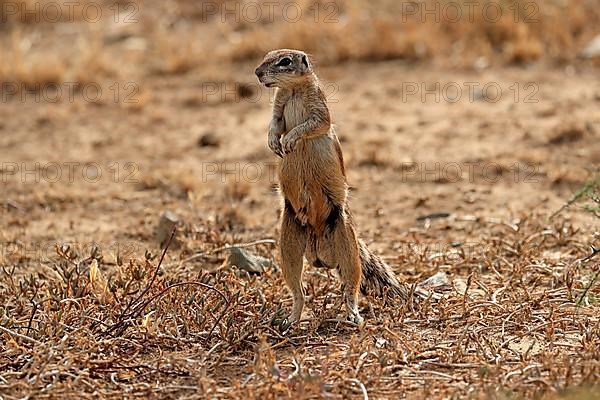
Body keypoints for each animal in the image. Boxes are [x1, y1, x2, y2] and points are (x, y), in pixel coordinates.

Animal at [255, 47, 410, 328]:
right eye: (266, 56)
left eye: (285, 61)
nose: (257, 73)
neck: (293, 89)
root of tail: (320, 255)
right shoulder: (278, 106)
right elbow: (275, 123)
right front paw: (274, 142)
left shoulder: (320, 109)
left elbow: (312, 124)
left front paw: (291, 139)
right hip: (288, 245)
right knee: (298, 290)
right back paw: (291, 320)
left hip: (346, 242)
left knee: (350, 286)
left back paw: (353, 315)